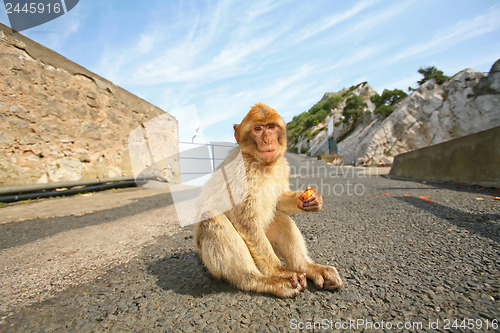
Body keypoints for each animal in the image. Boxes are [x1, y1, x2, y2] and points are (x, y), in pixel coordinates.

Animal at [193, 102, 342, 296]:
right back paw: (264, 280)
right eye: (257, 129)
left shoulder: (282, 166)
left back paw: (306, 267)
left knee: (279, 218)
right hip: (215, 262)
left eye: (271, 127)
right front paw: (280, 271)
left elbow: (279, 201)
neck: (263, 164)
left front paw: (312, 200)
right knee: (211, 217)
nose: (267, 140)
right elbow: (245, 221)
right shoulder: (241, 173)